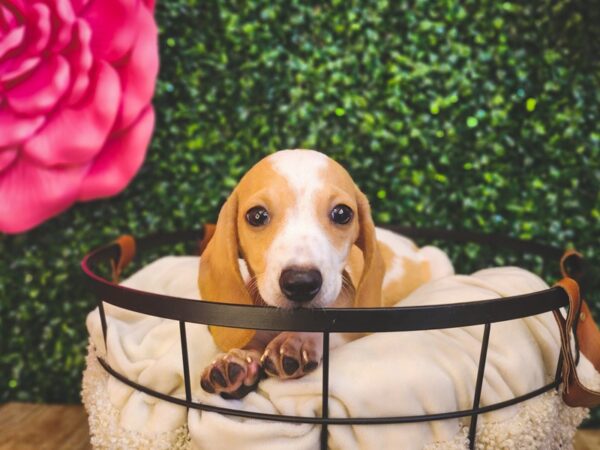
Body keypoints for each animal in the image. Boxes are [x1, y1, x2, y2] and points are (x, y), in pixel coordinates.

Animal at [199, 149, 452, 400]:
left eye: (342, 213)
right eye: (257, 216)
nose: (301, 283)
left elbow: (330, 332)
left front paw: (299, 340)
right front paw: (237, 357)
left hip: (440, 259)